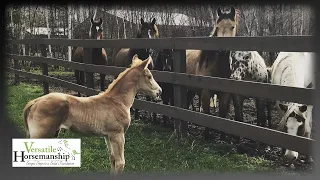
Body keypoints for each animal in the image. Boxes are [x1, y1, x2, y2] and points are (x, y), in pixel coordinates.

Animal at [185, 5, 240, 141]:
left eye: (232, 27)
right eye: (217, 27)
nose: (222, 50)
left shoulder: (225, 94)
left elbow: (222, 114)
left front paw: (222, 137)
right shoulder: (206, 93)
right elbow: (207, 114)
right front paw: (206, 135)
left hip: (190, 90)